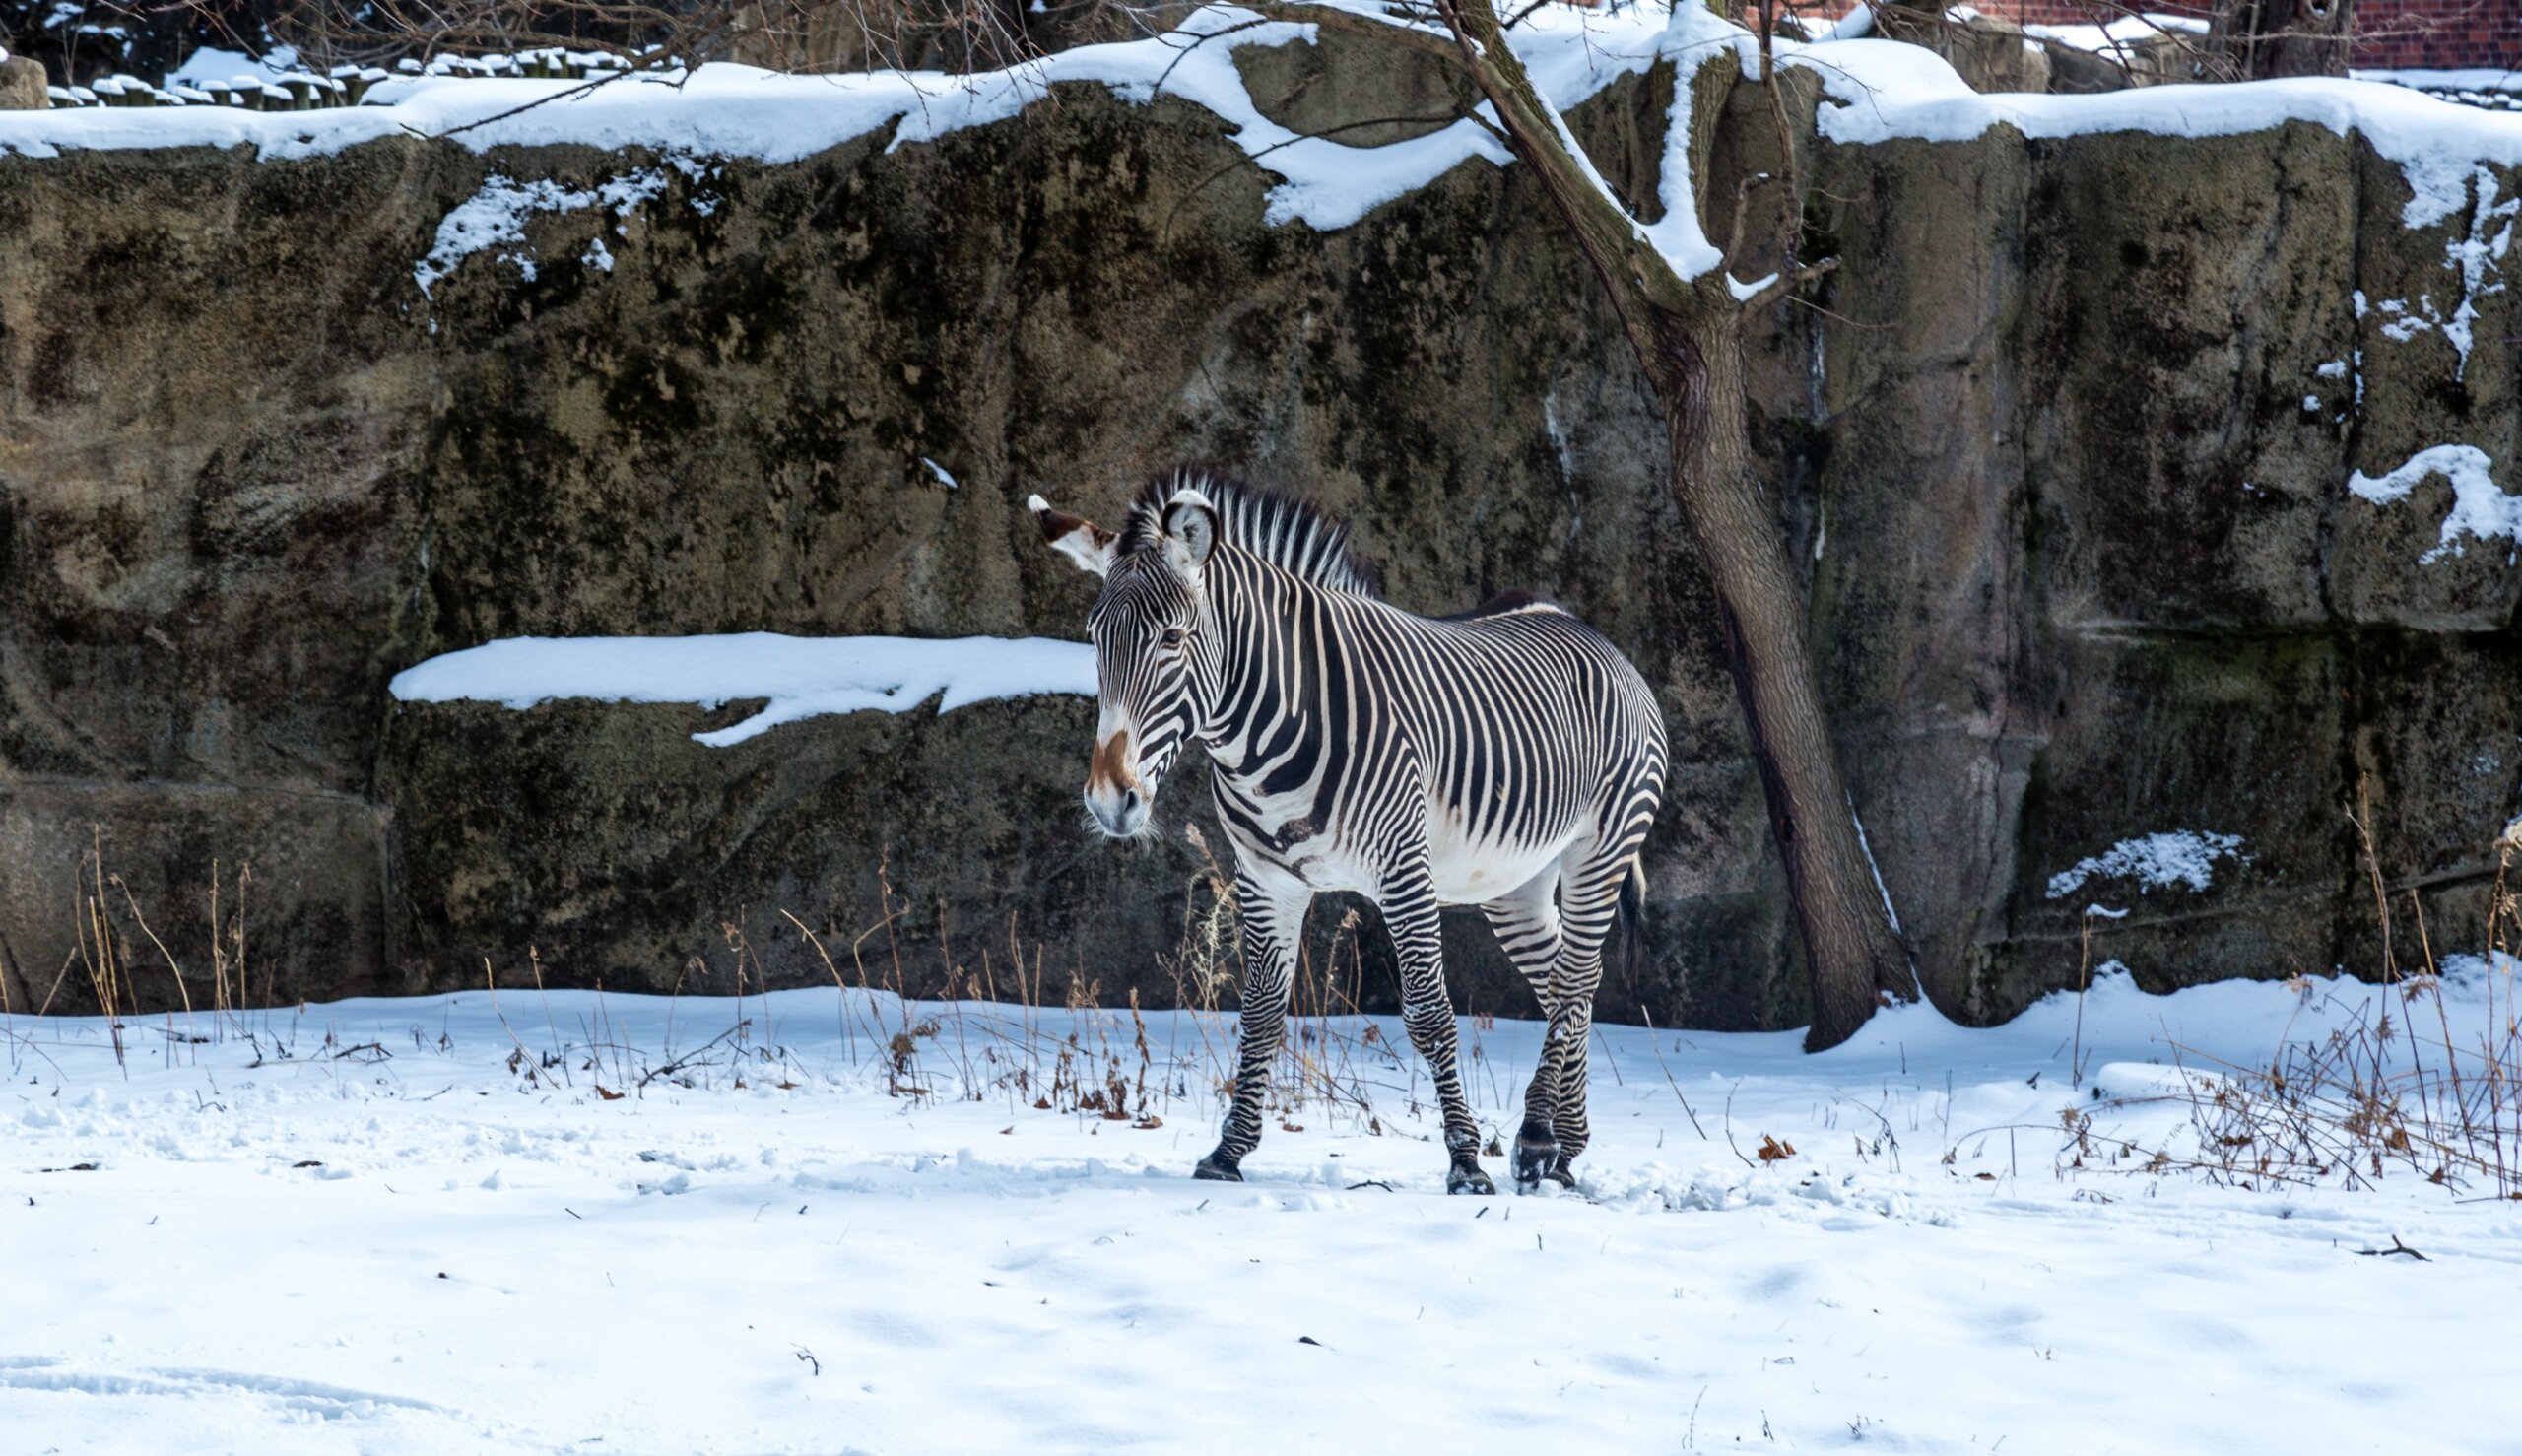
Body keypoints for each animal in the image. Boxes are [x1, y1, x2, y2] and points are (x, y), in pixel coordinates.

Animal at [1029, 469, 1667, 1192]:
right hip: (1516, 881)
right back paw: (1564, 1147)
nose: (1111, 800)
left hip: (1600, 848)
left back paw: (1535, 1138)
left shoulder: (1404, 868)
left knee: (1573, 979)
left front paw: (1466, 1165)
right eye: (1094, 638)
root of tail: (1584, 628)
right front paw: (1229, 1153)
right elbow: (1260, 1014)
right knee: (1568, 979)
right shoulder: (1265, 880)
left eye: (1172, 638)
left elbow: (1429, 1013)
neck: (1267, 731)